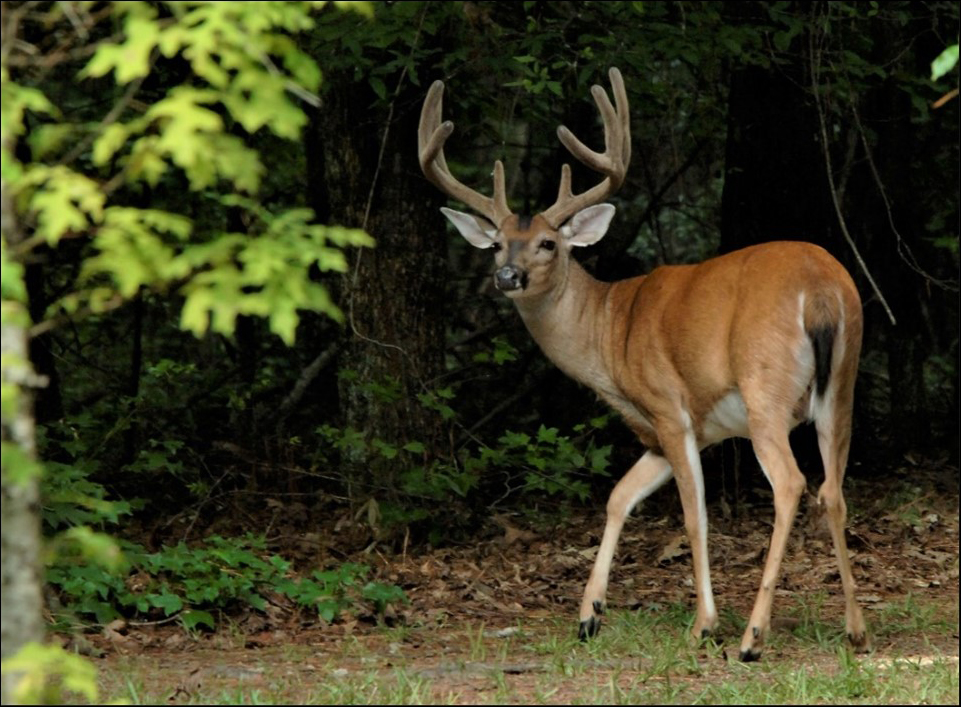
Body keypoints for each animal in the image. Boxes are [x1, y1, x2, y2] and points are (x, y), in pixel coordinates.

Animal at [416, 66, 868, 664]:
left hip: (764, 388)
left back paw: (752, 637)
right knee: (833, 491)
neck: (612, 332)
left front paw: (703, 624)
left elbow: (694, 517)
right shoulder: (672, 431)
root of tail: (820, 290)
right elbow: (618, 498)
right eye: (496, 245)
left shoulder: (669, 409)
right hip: (842, 384)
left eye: (548, 244)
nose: (506, 276)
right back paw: (855, 629)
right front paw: (589, 615)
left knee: (793, 484)